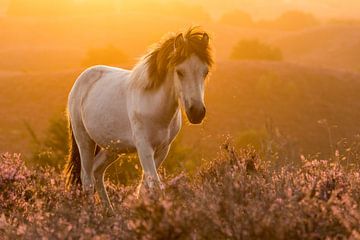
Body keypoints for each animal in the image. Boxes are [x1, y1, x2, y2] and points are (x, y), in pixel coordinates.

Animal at [64, 27, 212, 211]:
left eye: (205, 72)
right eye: (180, 71)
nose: (197, 112)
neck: (154, 105)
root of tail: (80, 81)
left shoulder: (163, 149)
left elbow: (145, 187)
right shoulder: (144, 147)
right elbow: (154, 186)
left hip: (112, 147)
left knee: (96, 171)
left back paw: (109, 213)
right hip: (84, 140)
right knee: (86, 179)